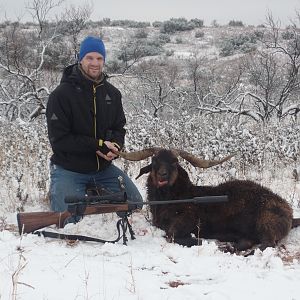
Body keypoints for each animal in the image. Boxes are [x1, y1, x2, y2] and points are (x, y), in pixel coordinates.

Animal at [118, 148, 300, 253]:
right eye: (155, 160)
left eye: (174, 162)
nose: (163, 175)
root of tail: (289, 213)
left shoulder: (187, 221)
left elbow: (171, 235)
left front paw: (197, 240)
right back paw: (230, 247)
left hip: (266, 224)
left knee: (267, 244)